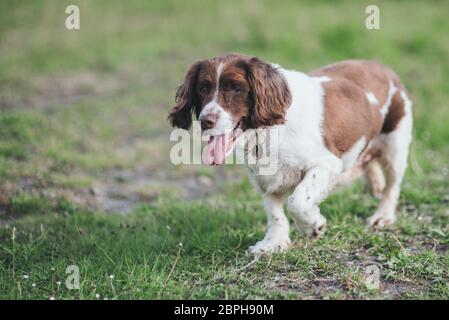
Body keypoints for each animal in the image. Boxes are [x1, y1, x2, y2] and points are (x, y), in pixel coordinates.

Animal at [167, 53, 410, 254]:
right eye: (202, 88)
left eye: (236, 88)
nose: (205, 121)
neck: (266, 131)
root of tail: (380, 65)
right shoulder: (265, 178)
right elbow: (275, 214)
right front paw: (273, 243)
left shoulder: (327, 163)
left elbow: (298, 201)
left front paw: (313, 226)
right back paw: (374, 184)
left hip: (396, 146)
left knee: (393, 186)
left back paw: (382, 216)